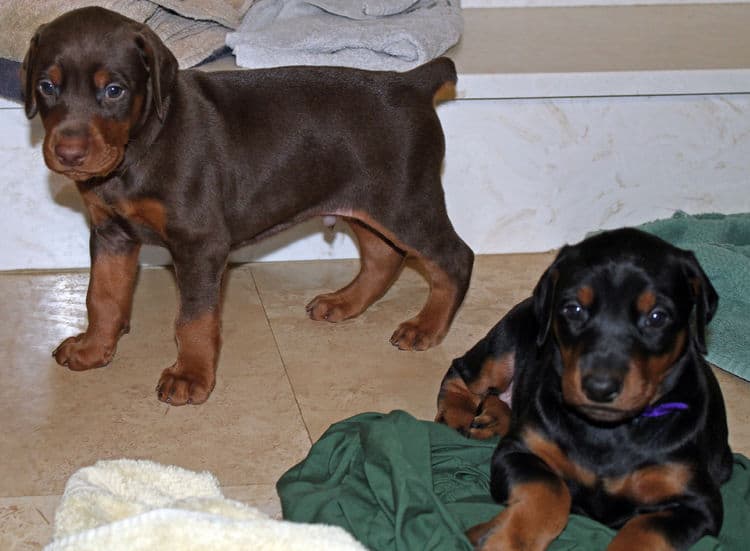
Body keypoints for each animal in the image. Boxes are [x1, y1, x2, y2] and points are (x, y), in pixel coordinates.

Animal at [25, 5, 476, 406]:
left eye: (114, 90)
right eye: (47, 86)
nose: (68, 154)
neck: (141, 145)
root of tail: (412, 84)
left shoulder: (200, 242)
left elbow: (194, 318)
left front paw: (190, 376)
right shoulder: (110, 234)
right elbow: (102, 295)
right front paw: (93, 348)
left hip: (405, 202)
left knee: (454, 257)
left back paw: (426, 326)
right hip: (364, 200)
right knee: (384, 256)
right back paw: (343, 303)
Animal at [438, 226, 732, 548]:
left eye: (658, 316)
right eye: (573, 309)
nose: (599, 387)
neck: (611, 432)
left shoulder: (698, 502)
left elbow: (646, 529)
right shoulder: (519, 452)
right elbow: (551, 488)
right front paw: (506, 539)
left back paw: (492, 418)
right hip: (506, 342)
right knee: (462, 372)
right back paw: (458, 414)